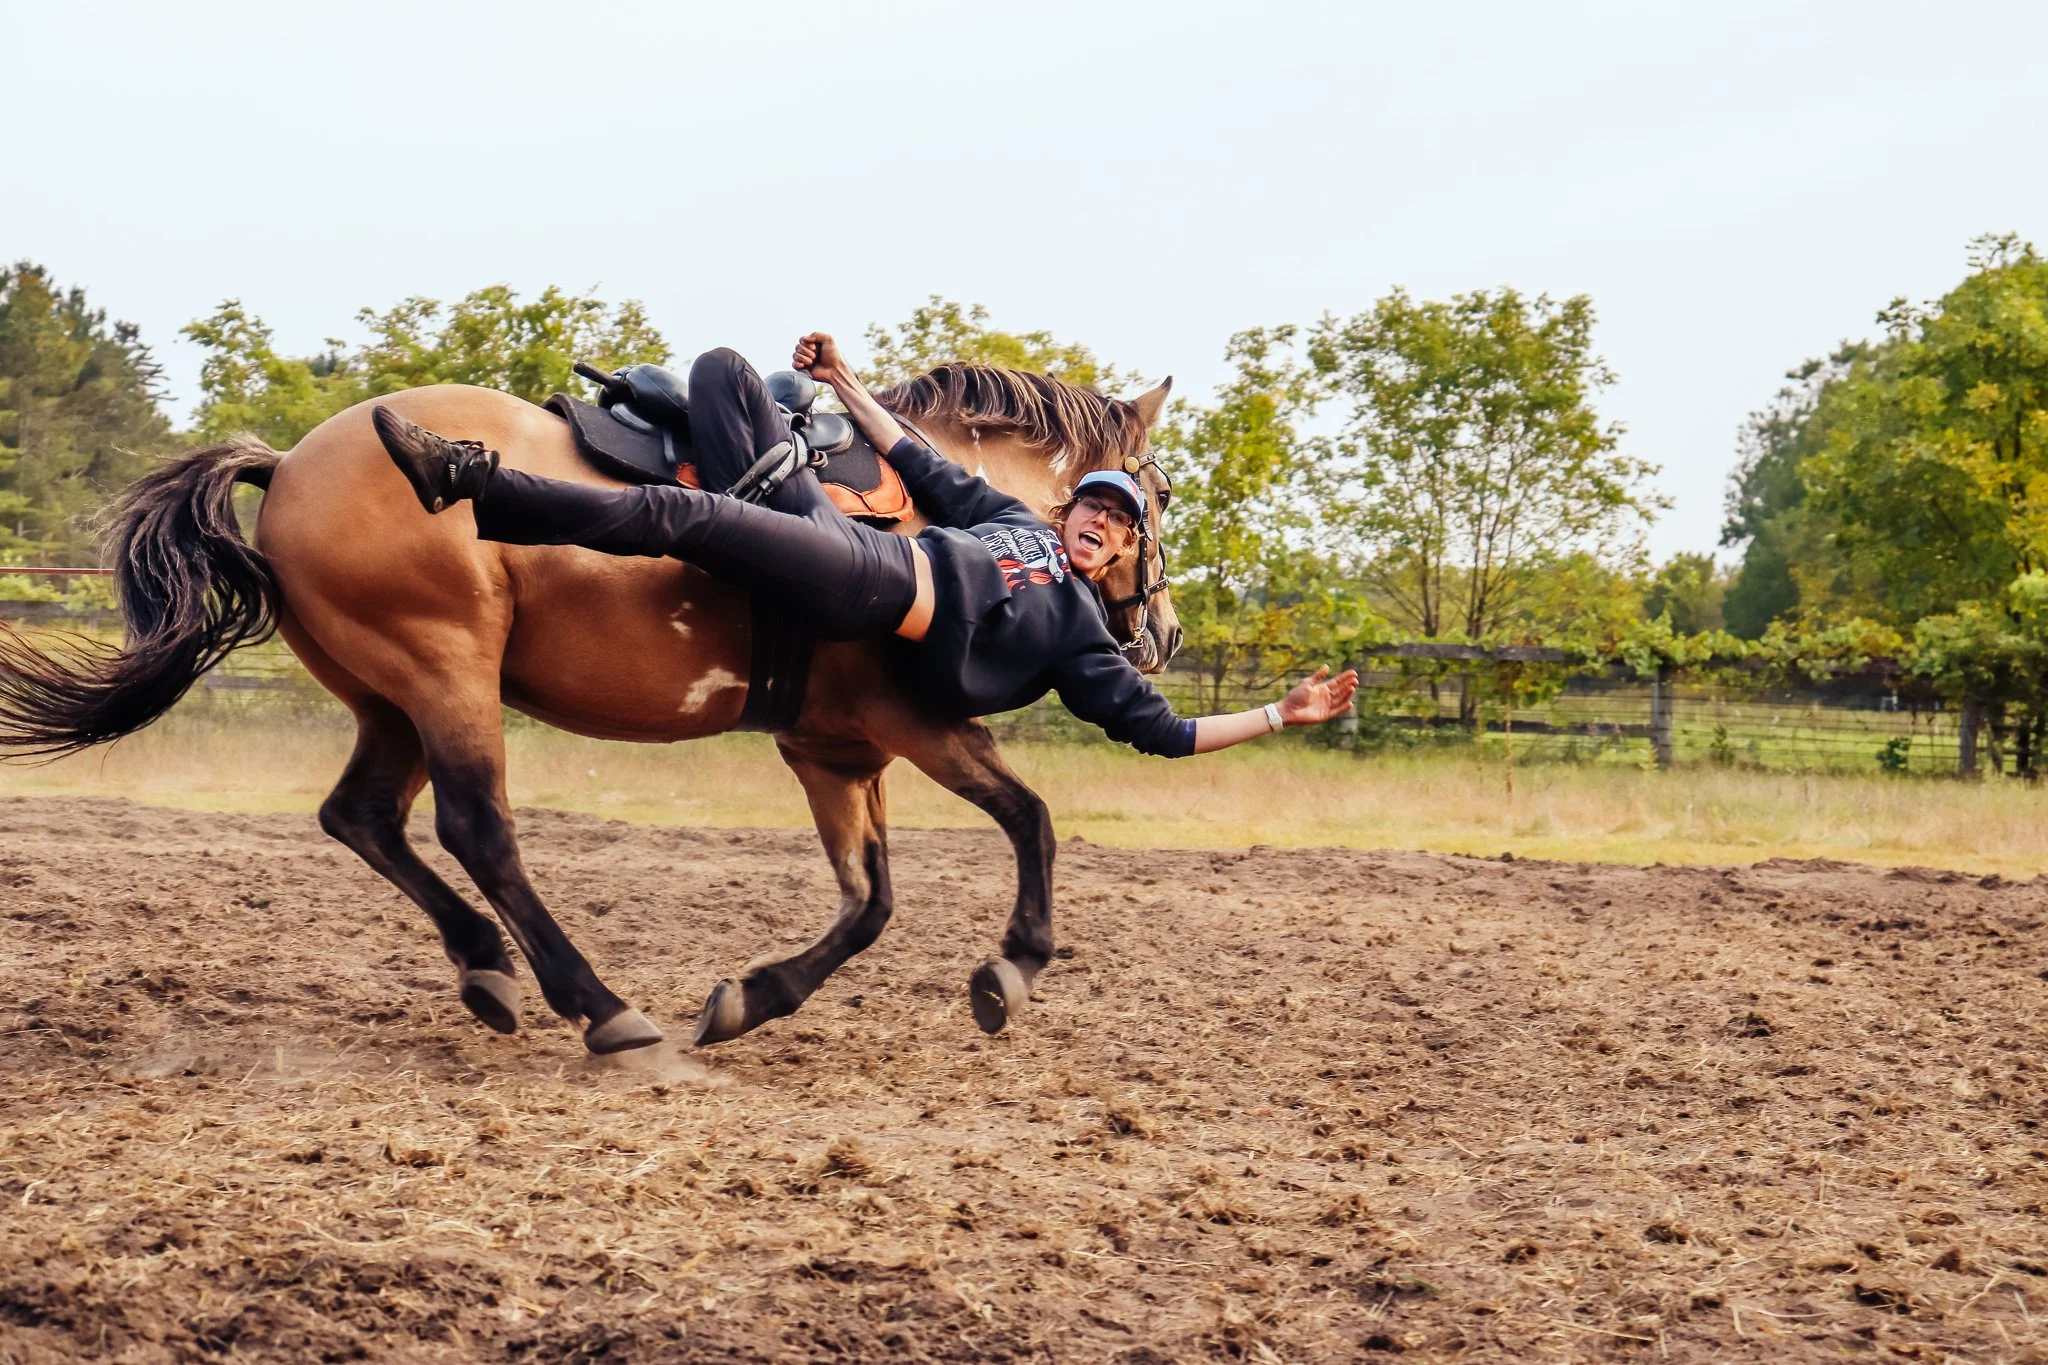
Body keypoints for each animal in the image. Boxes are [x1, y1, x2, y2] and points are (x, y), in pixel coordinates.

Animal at [0, 364, 1180, 1055]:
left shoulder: (832, 752)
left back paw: (486, 966)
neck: (935, 528)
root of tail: (291, 462)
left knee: (363, 817)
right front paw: (1012, 966)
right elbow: (1029, 819)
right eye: (1159, 494)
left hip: (394, 698)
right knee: (478, 829)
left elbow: (870, 898)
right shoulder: (914, 728)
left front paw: (754, 997)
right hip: (446, 673)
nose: (1159, 634)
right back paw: (597, 1006)